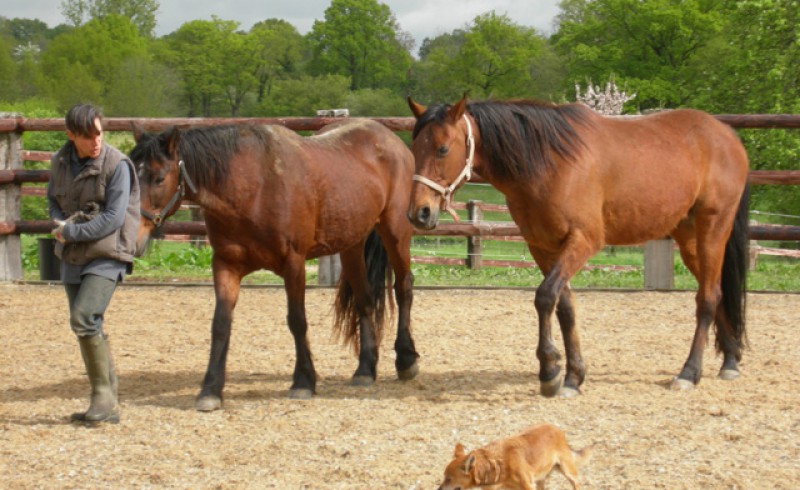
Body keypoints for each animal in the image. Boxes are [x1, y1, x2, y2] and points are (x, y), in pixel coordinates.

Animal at [128, 118, 422, 410]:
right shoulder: (225, 264)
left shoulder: (294, 263)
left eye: (159, 178)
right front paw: (210, 389)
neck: (251, 187)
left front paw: (303, 381)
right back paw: (365, 370)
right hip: (351, 245)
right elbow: (220, 324)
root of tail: (390, 139)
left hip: (395, 232)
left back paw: (406, 360)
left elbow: (297, 320)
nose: (132, 238)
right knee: (365, 301)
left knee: (403, 288)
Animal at [406, 95, 752, 398]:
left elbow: (545, 297)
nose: (419, 213)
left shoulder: (583, 241)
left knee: (707, 299)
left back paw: (689, 373)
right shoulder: (543, 247)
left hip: (712, 229)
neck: (550, 164)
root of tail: (726, 135)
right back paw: (730, 361)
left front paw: (549, 370)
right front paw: (573, 376)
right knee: (718, 293)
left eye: (442, 148)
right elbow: (565, 307)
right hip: (688, 238)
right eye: (414, 148)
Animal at [438, 424, 588, 488]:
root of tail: (556, 428)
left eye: (449, 479)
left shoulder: (528, 486)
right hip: (541, 478)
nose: (438, 489)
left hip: (568, 472)